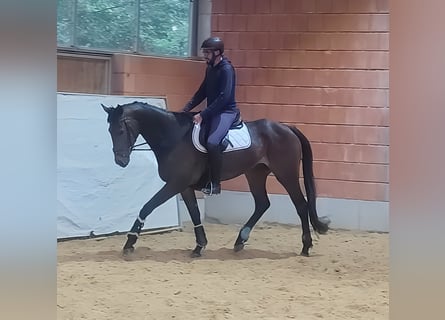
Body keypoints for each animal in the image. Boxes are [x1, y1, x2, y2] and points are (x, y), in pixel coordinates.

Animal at [102, 102, 328, 258]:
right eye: (109, 131)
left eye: (120, 130)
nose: (120, 161)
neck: (174, 137)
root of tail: (287, 127)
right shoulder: (184, 187)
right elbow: (194, 213)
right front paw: (199, 246)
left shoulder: (175, 184)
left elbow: (147, 207)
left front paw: (129, 243)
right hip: (255, 173)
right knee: (262, 203)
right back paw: (240, 241)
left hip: (285, 174)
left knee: (301, 205)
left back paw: (305, 246)